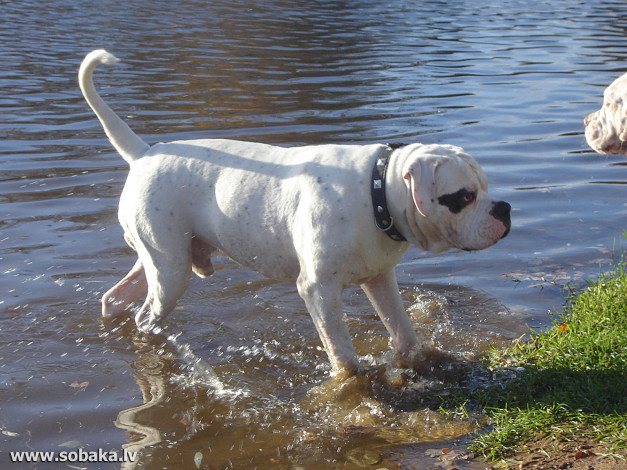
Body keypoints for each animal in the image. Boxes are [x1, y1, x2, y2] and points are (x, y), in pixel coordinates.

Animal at [79, 48, 510, 374]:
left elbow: (404, 333)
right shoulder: (319, 291)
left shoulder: (380, 280)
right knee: (145, 316)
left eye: (486, 188)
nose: (504, 208)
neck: (377, 193)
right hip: (170, 271)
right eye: (463, 197)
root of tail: (144, 153)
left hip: (160, 260)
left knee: (115, 299)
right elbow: (345, 357)